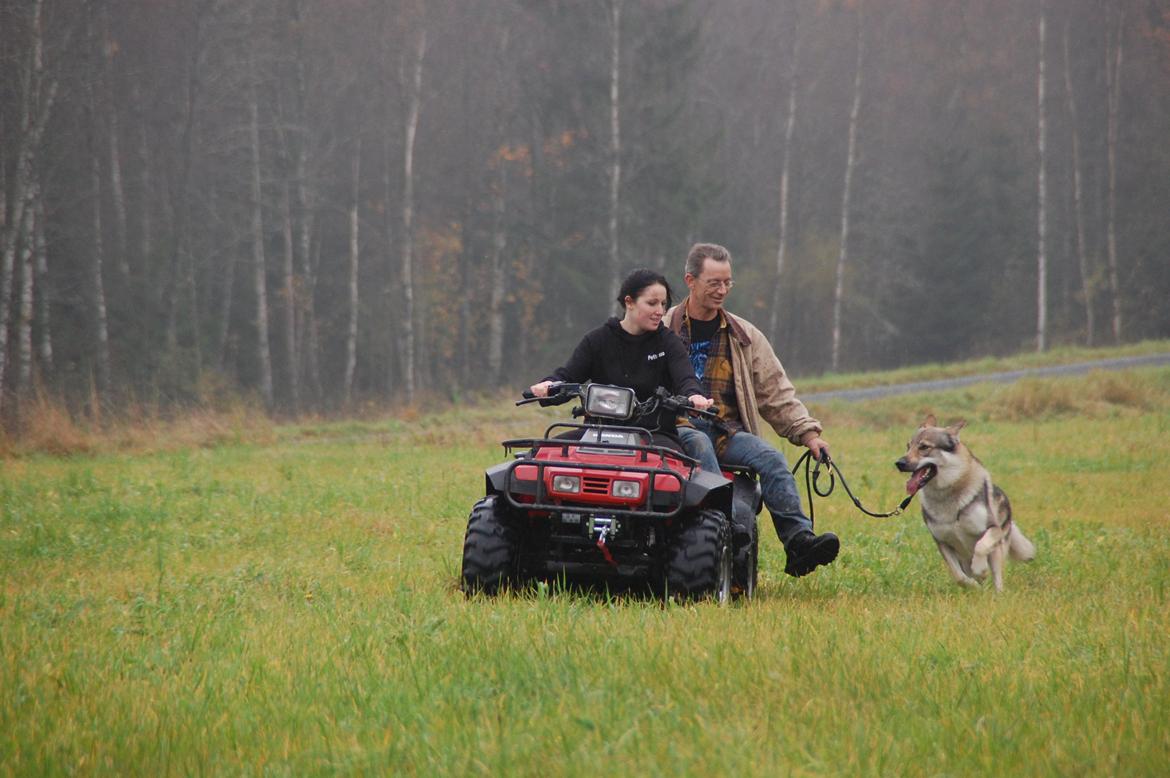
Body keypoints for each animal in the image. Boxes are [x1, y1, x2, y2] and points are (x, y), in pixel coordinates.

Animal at [893, 416, 1034, 591]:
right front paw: (973, 585)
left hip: (998, 547)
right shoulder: (942, 542)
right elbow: (959, 576)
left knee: (997, 578)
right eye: (908, 446)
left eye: (924, 447)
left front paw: (980, 570)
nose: (899, 463)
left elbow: (980, 547)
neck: (947, 496)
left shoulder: (992, 529)